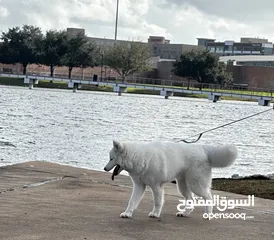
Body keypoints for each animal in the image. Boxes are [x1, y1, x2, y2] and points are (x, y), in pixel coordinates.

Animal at [104, 141, 237, 219]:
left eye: (111, 158)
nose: (104, 169)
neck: (139, 157)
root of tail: (203, 149)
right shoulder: (139, 186)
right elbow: (132, 201)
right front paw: (127, 213)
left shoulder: (156, 187)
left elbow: (157, 202)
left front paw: (155, 214)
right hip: (182, 185)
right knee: (191, 200)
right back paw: (185, 213)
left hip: (196, 185)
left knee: (208, 196)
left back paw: (209, 214)